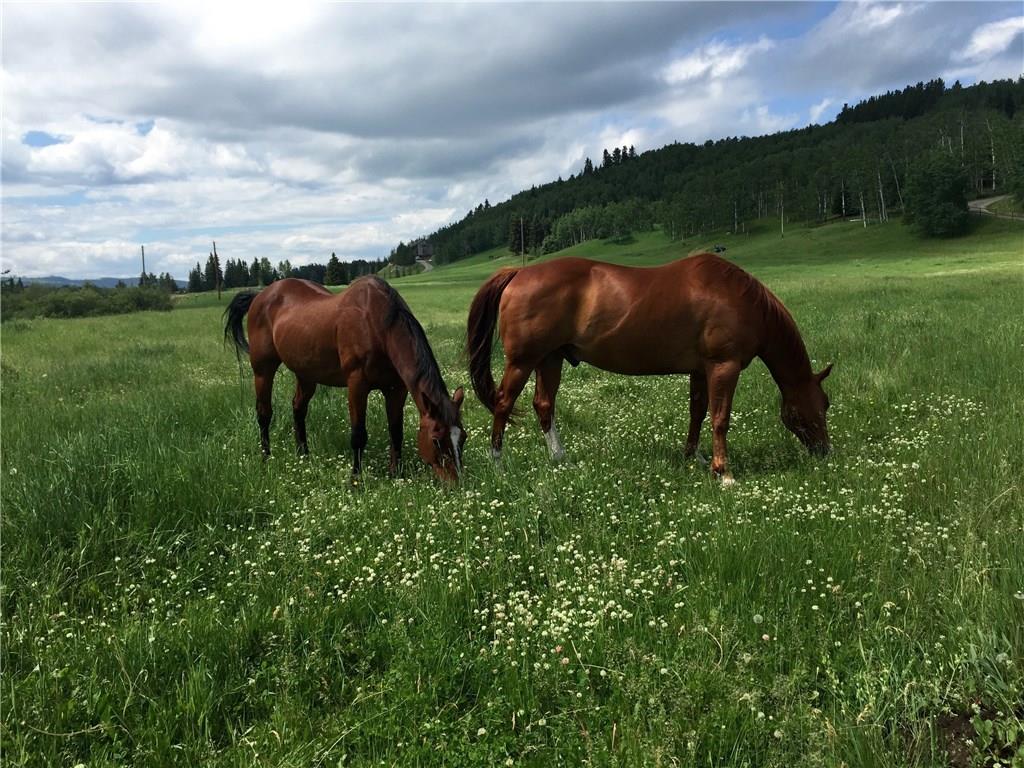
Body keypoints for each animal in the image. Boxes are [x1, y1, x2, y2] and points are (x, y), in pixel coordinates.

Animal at [226, 276, 466, 481]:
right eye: (436, 440)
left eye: (462, 437)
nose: (456, 483)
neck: (377, 324)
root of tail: (260, 295)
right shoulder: (357, 385)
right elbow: (358, 435)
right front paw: (355, 479)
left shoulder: (396, 389)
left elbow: (396, 432)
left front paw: (395, 474)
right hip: (262, 370)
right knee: (264, 413)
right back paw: (265, 458)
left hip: (306, 374)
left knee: (298, 408)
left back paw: (303, 455)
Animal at [466, 252, 831, 481]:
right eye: (824, 405)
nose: (825, 452)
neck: (739, 298)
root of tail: (519, 273)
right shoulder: (723, 367)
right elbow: (720, 419)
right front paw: (723, 471)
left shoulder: (700, 370)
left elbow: (697, 413)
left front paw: (693, 457)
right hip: (523, 361)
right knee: (503, 404)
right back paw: (498, 464)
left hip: (550, 358)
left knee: (543, 405)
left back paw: (560, 459)